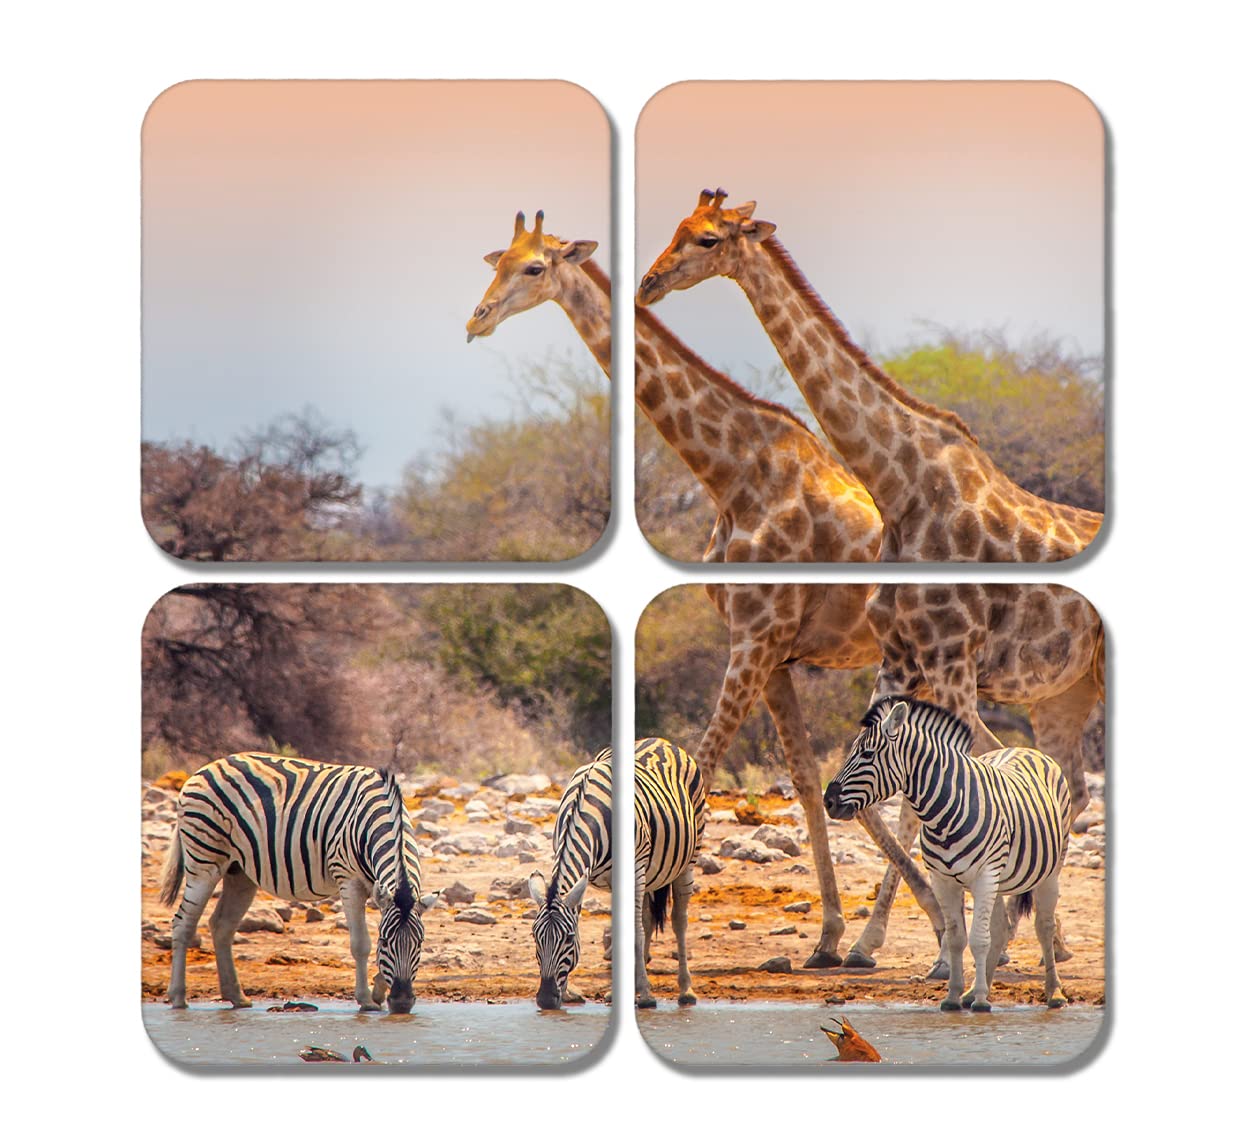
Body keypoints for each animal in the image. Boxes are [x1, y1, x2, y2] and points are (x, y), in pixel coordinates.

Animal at [160, 752, 427, 1014]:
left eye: (420, 943)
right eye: (385, 942)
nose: (402, 1003)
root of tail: (205, 768)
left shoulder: (379, 887)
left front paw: (379, 992)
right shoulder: (348, 878)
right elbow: (360, 943)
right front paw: (366, 1000)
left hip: (239, 872)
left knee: (221, 925)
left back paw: (236, 997)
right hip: (203, 860)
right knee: (183, 924)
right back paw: (178, 997)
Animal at [466, 209, 944, 967]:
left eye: (535, 267)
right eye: (497, 262)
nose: (475, 320)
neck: (734, 474)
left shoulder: (755, 638)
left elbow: (706, 773)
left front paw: (641, 932)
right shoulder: (770, 652)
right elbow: (804, 779)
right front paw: (827, 936)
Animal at [638, 190, 1105, 968]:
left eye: (706, 239)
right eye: (674, 229)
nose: (648, 283)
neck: (902, 484)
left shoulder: (943, 660)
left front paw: (955, 940)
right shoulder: (898, 659)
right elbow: (865, 784)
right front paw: (902, 939)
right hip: (1062, 692)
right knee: (1069, 784)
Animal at [822, 698, 1071, 1012]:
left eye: (867, 754)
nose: (828, 801)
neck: (943, 813)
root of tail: (1025, 748)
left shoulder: (985, 875)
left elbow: (978, 939)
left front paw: (980, 1002)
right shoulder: (942, 879)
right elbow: (957, 938)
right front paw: (955, 997)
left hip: (1049, 870)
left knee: (1043, 927)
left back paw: (1054, 993)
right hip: (1000, 879)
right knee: (1000, 928)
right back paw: (976, 991)